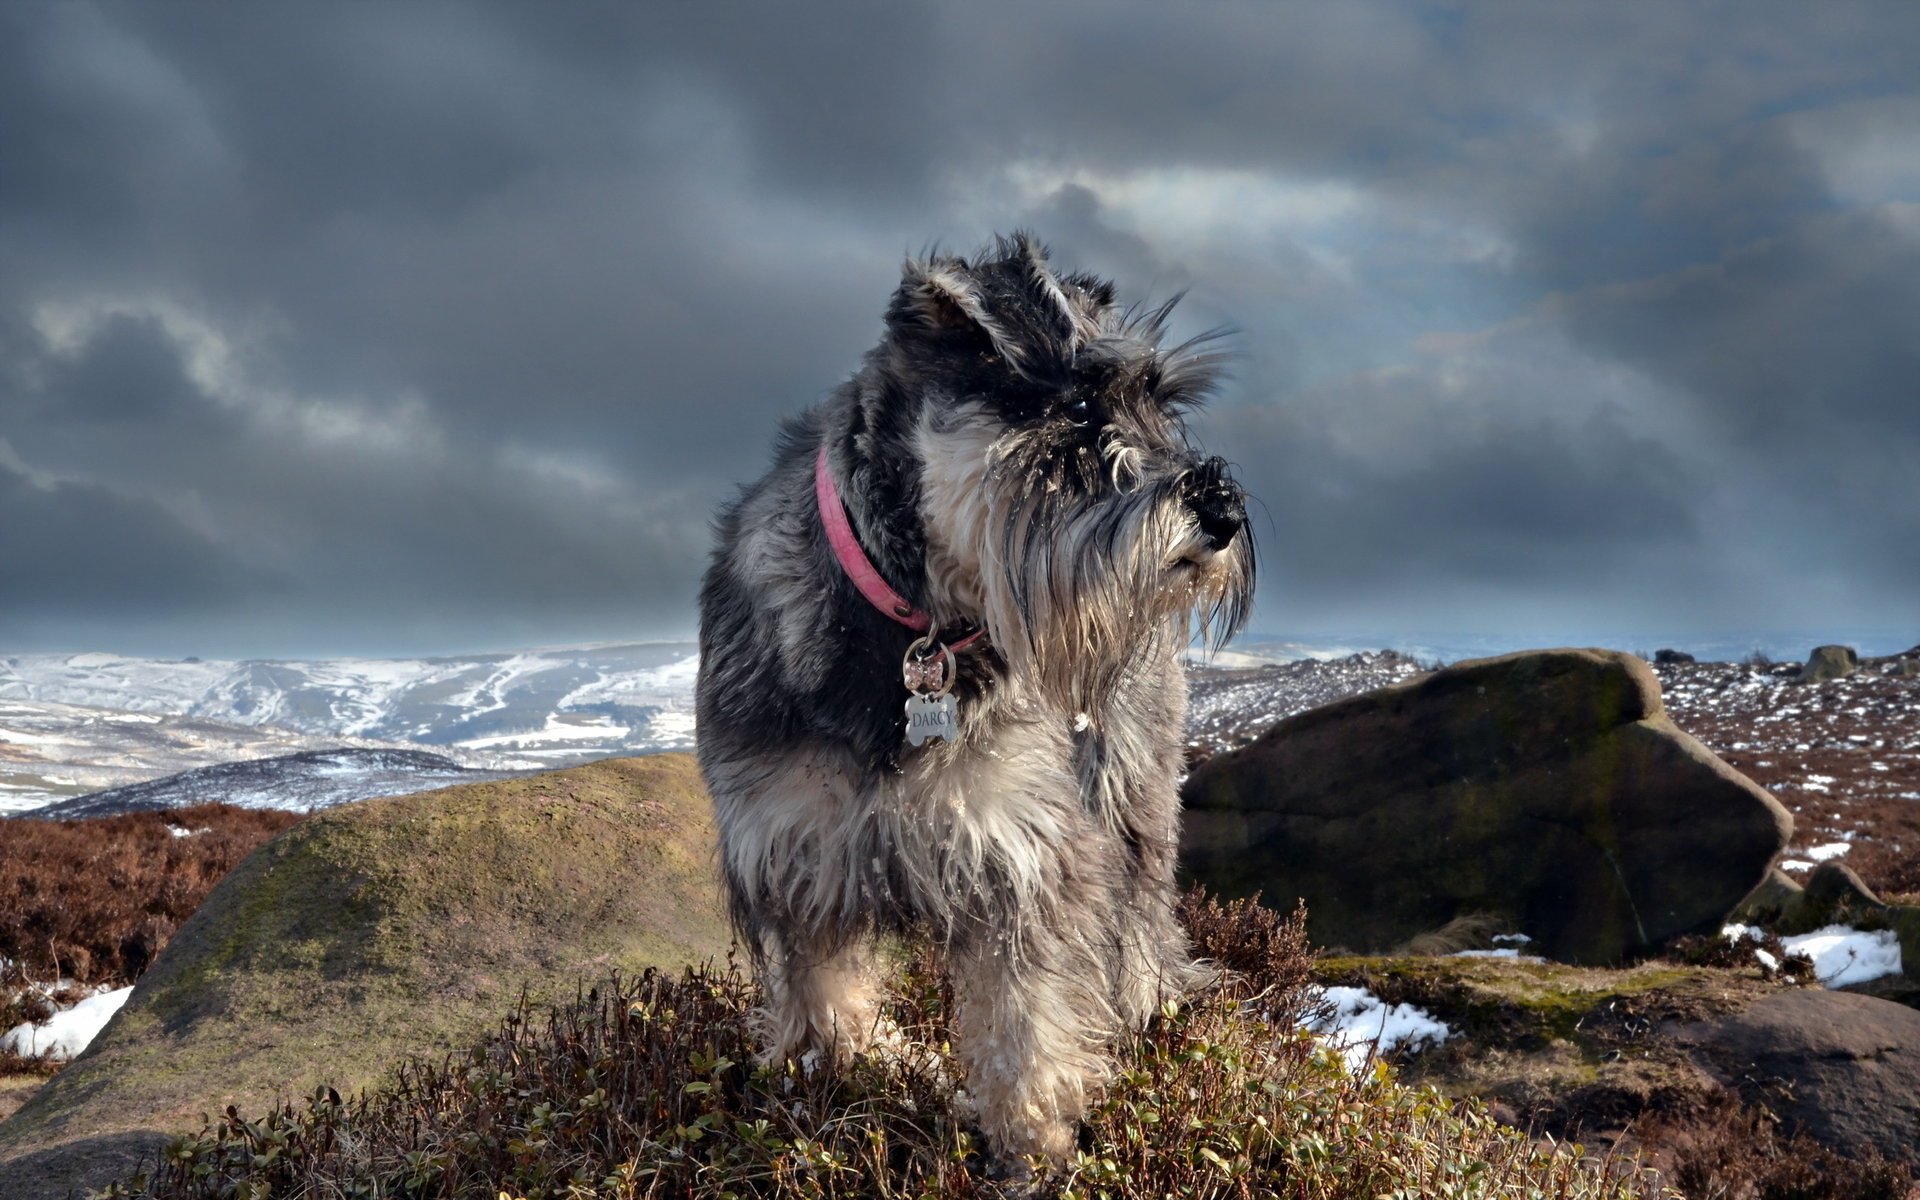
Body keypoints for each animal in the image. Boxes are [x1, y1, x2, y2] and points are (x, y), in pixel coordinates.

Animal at [698, 234, 1251, 1167]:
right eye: (1075, 404)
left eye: (1161, 402)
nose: (1221, 509)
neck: (911, 633)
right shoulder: (793, 854)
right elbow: (824, 1000)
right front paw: (836, 1084)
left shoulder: (1022, 859)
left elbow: (1025, 1031)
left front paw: (1034, 1153)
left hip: (1128, 790)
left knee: (1140, 917)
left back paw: (1147, 1010)